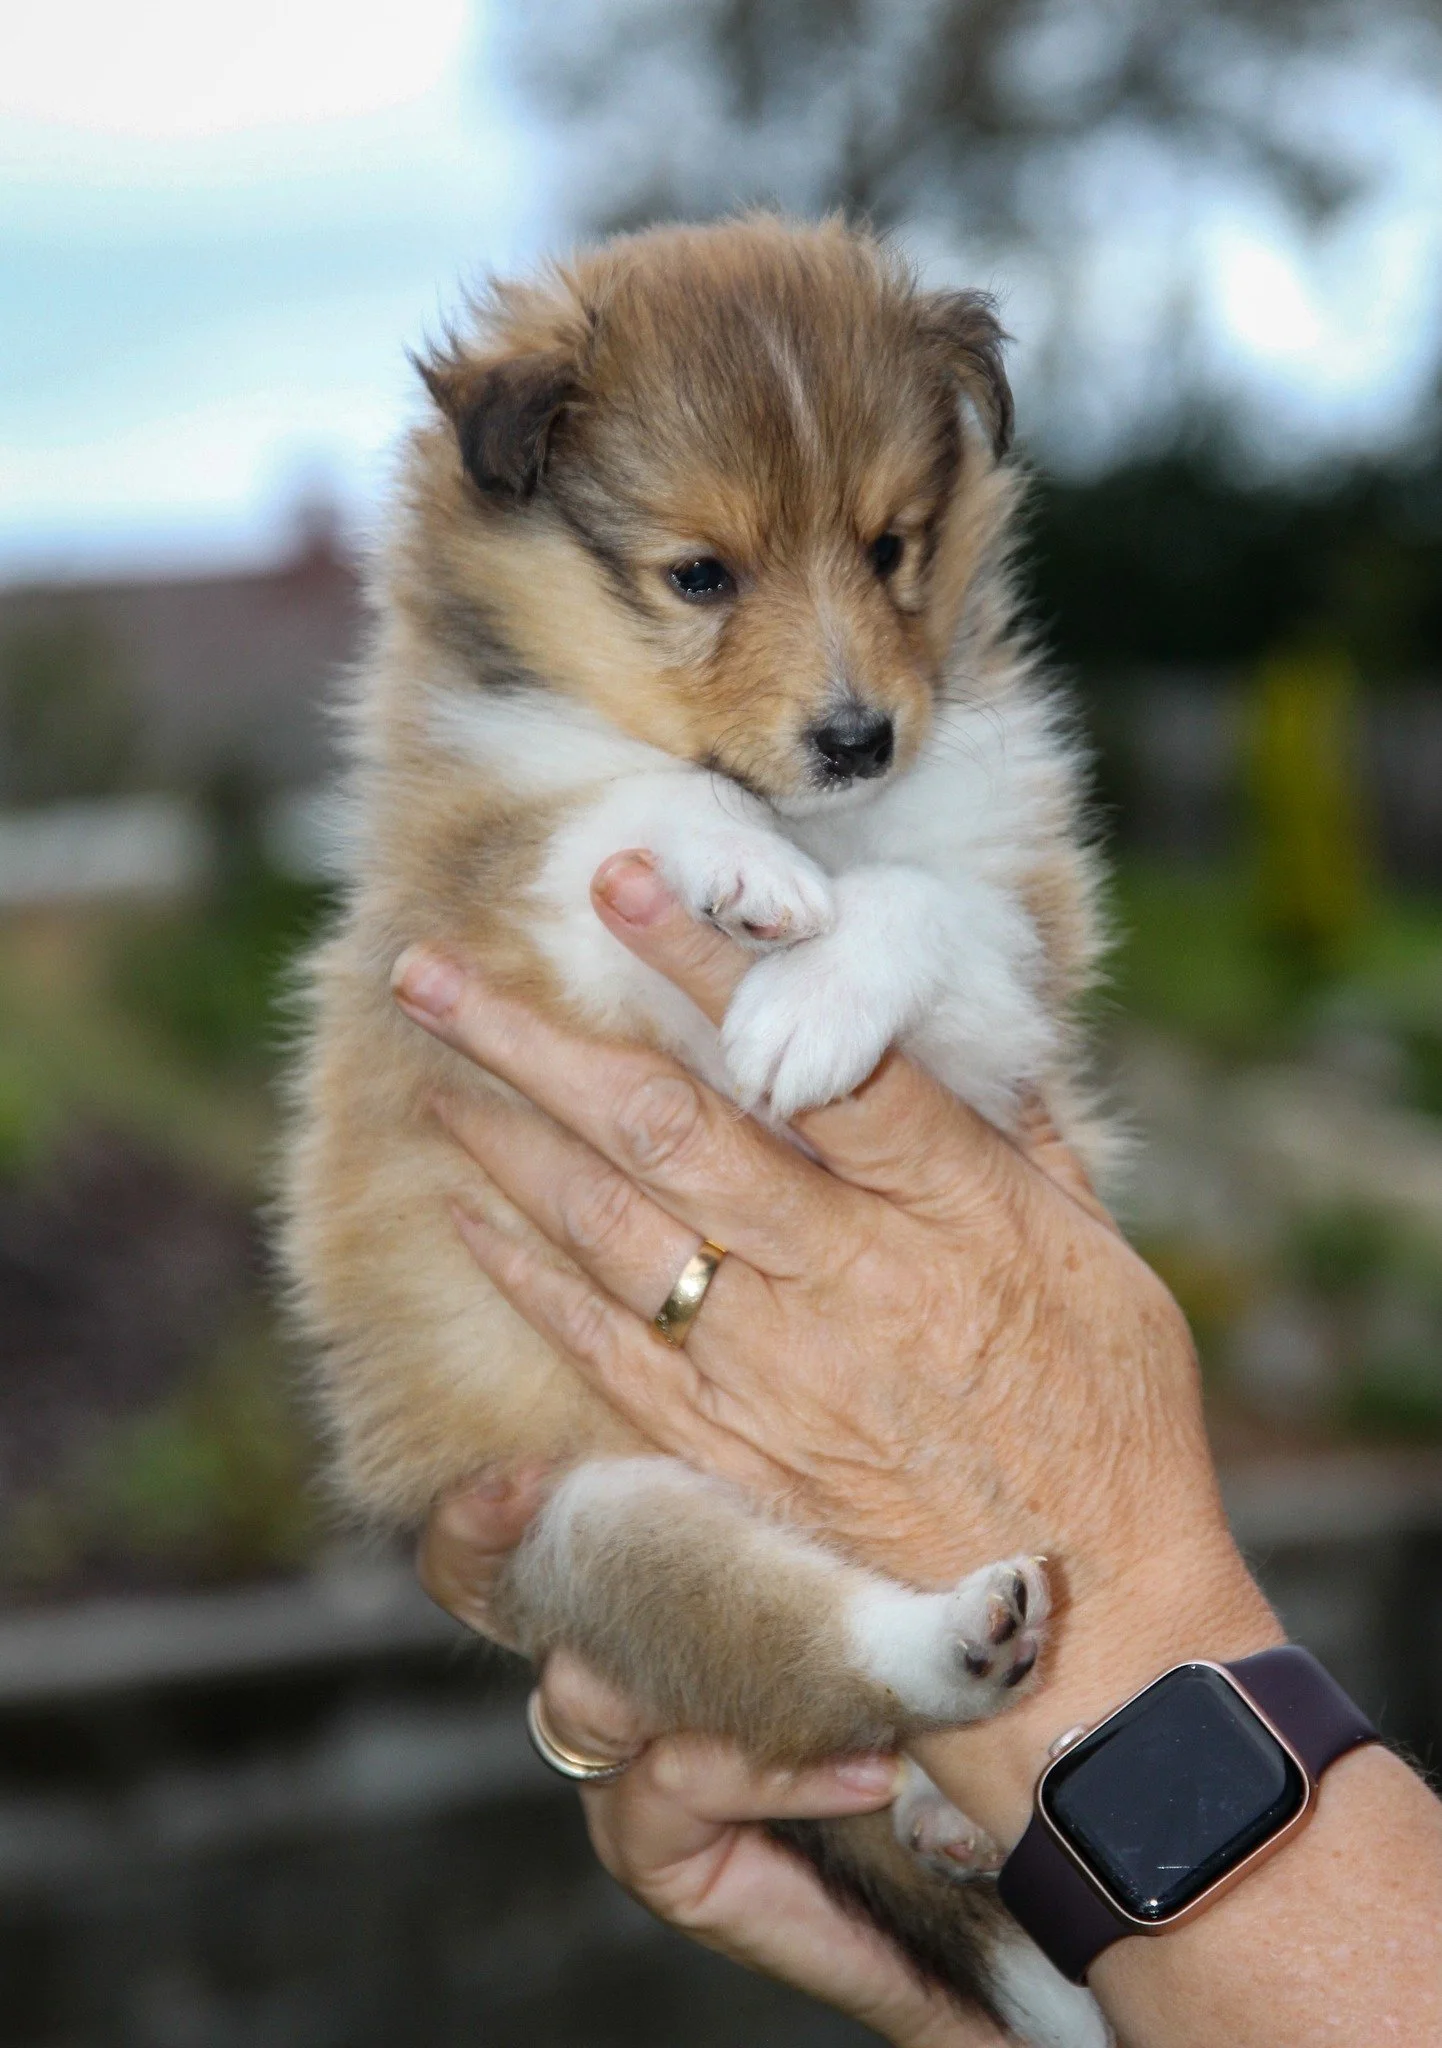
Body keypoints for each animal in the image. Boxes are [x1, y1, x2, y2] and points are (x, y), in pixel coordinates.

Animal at [280, 216, 1111, 2048]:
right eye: (698, 576)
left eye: (889, 546)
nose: (859, 738)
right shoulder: (498, 916)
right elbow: (612, 806)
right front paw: (747, 871)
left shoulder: (1005, 944)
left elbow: (927, 905)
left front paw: (810, 995)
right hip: (597, 1533)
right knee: (804, 1654)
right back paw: (956, 1647)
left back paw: (957, 1783)